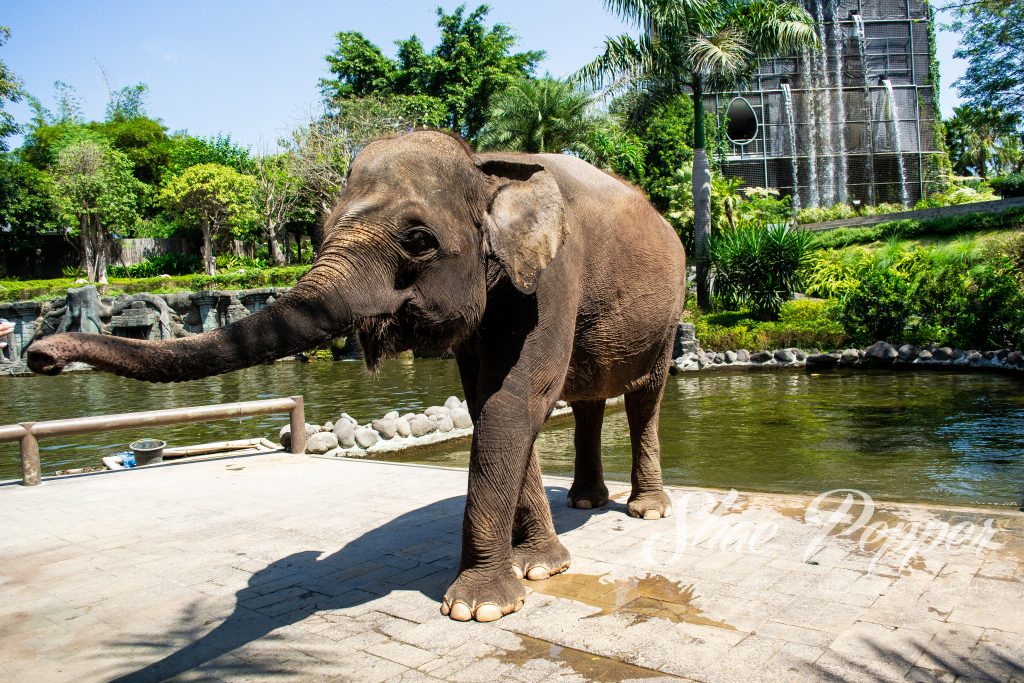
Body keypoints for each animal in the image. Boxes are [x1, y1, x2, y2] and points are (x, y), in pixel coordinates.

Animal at [27, 130, 687, 623]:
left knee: (643, 398)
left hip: (670, 312)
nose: (40, 356)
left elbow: (518, 398)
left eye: (418, 240)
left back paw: (646, 510)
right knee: (589, 400)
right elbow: (490, 402)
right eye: (318, 234)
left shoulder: (554, 274)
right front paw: (539, 569)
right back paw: (585, 500)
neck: (484, 166)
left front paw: (477, 607)